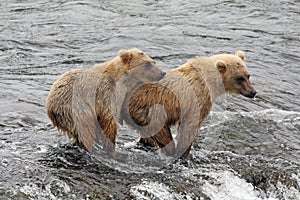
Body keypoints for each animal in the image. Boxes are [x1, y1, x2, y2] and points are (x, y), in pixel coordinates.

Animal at [123, 50, 256, 159]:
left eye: (248, 75)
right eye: (239, 78)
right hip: (149, 109)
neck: (210, 82)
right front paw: (184, 153)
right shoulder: (197, 98)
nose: (253, 92)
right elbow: (190, 126)